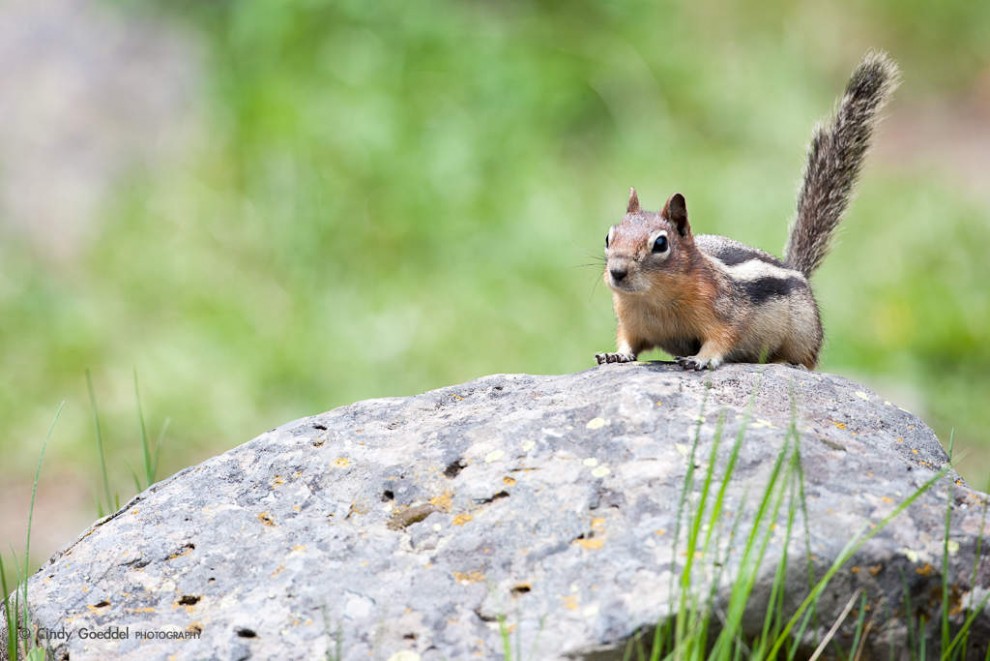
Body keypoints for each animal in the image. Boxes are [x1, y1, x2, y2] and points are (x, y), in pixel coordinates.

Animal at [596, 50, 900, 372]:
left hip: (804, 335)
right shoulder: (630, 322)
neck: (651, 299)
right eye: (608, 237)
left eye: (660, 244)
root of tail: (797, 271)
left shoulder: (726, 315)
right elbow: (628, 340)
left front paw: (699, 359)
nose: (617, 271)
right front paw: (615, 354)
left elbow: (721, 339)